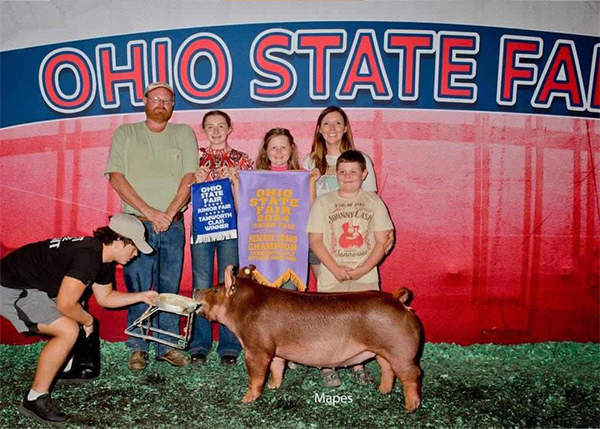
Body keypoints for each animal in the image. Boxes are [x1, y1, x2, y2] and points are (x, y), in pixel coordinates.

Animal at [192, 264, 422, 412]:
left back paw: (410, 407)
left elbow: (256, 376)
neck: (243, 309)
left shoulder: (256, 349)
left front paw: (245, 400)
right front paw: (273, 387)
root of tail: (398, 300)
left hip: (401, 352)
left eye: (215, 290)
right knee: (388, 370)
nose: (195, 289)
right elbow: (277, 368)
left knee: (413, 374)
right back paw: (382, 391)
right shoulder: (276, 350)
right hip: (384, 351)